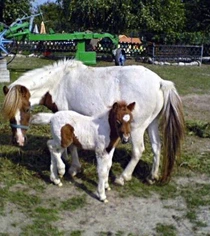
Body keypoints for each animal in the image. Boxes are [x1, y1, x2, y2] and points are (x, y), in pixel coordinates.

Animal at [2, 59, 185, 184]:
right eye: (8, 113)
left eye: (26, 109)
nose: (18, 141)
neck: (59, 83)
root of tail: (160, 82)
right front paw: (64, 157)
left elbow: (73, 145)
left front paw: (73, 168)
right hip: (151, 124)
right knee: (157, 147)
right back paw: (152, 176)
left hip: (136, 128)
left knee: (138, 151)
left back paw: (122, 177)